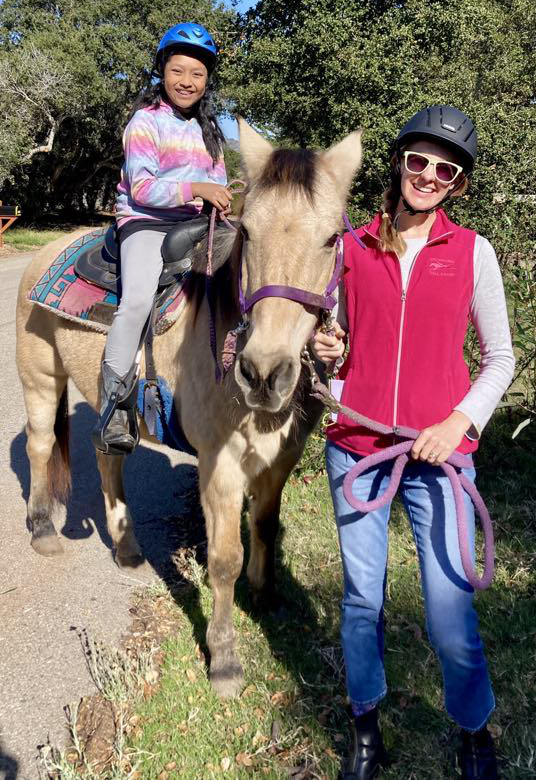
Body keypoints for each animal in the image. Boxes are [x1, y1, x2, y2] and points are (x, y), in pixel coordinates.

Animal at [14, 120, 362, 696]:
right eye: (248, 234)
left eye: (332, 238)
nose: (263, 373)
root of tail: (45, 256)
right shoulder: (219, 464)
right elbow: (223, 559)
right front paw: (224, 658)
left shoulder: (281, 459)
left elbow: (265, 526)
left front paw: (266, 598)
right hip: (41, 379)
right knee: (42, 447)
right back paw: (43, 531)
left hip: (111, 404)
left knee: (108, 457)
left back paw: (128, 550)